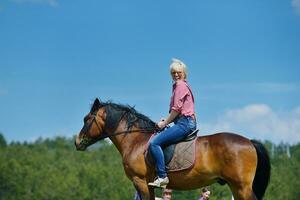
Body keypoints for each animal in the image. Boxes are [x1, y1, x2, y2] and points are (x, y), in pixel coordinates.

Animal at [75, 99, 272, 200]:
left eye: (86, 119)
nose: (77, 142)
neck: (136, 141)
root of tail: (249, 142)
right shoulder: (148, 185)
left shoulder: (139, 181)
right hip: (236, 187)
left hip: (241, 187)